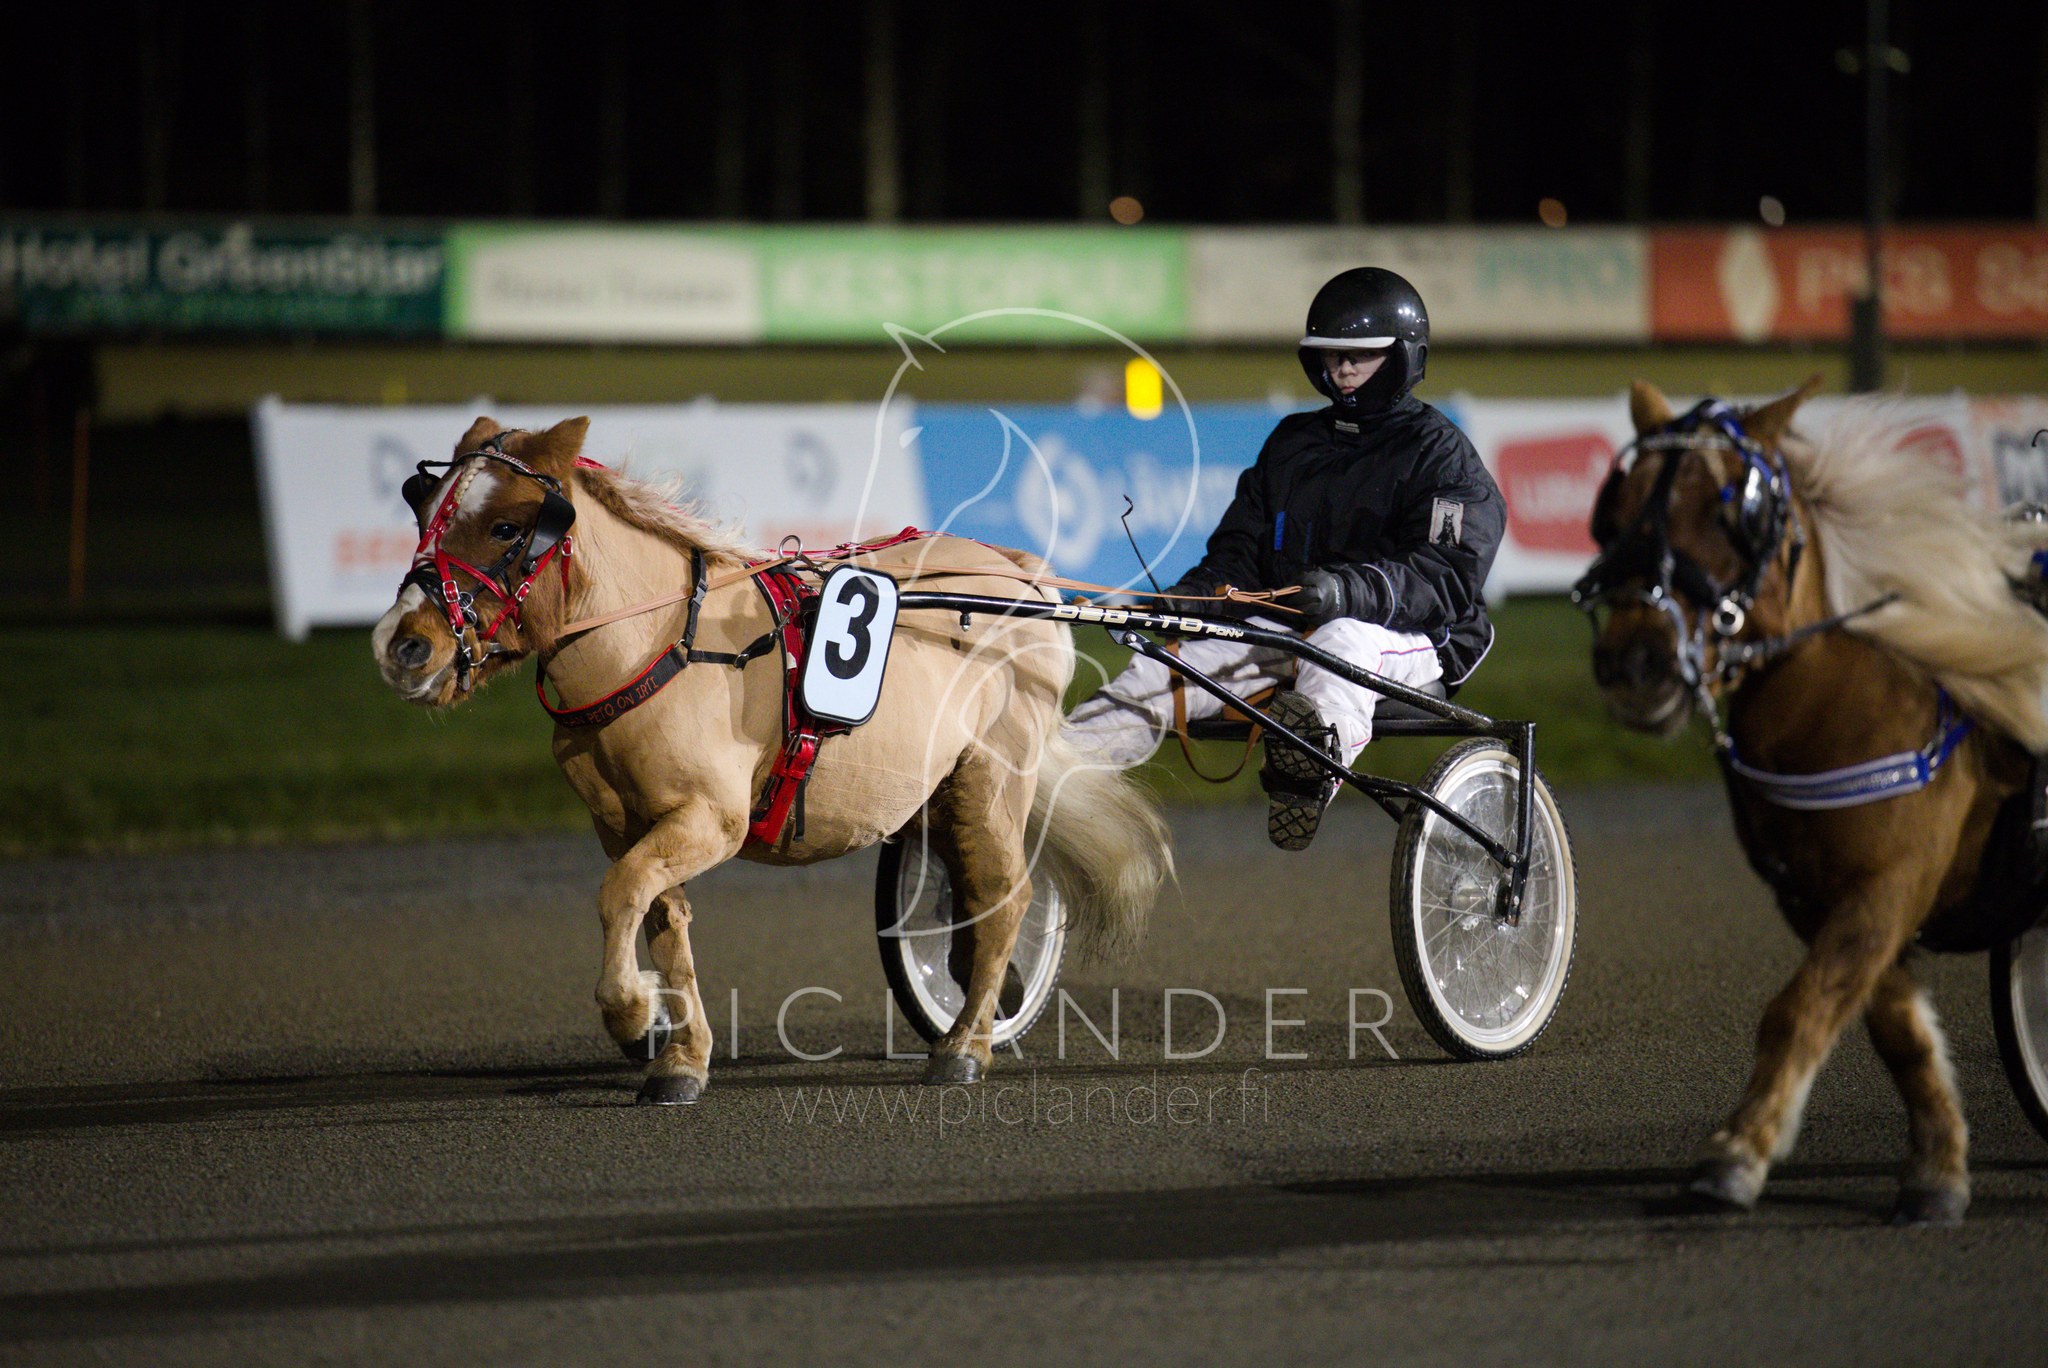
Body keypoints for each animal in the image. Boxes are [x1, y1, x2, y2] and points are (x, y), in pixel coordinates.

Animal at [371, 415, 1172, 1103]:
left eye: (507, 526)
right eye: (422, 509)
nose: (400, 645)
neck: (662, 643)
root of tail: (1017, 571)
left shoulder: (710, 819)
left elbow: (620, 894)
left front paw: (633, 1012)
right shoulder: (631, 824)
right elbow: (661, 918)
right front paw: (679, 1055)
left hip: (991, 776)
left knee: (1004, 894)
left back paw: (965, 1045)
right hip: (934, 789)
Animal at [1576, 378, 2048, 1223]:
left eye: (1731, 512)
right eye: (1618, 507)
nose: (1635, 661)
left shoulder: (1891, 880)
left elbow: (1799, 1009)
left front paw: (1736, 1153)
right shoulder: (1822, 897)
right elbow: (1890, 1027)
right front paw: (1937, 1166)